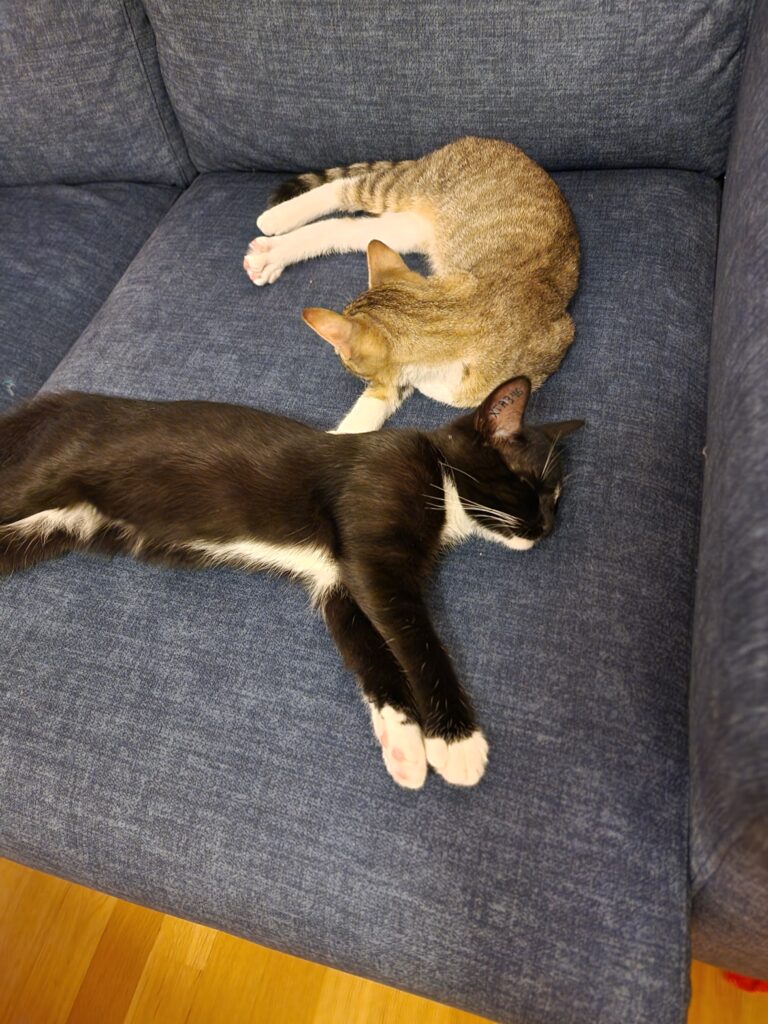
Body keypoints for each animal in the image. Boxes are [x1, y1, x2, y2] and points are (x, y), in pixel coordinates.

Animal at [0, 380, 581, 786]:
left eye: (556, 499)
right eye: (529, 486)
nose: (547, 528)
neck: (438, 477)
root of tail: (74, 401)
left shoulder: (340, 580)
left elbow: (371, 653)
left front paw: (404, 744)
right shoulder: (374, 555)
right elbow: (417, 640)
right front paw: (457, 743)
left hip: (55, 526)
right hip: (42, 481)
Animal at [243, 136, 581, 432]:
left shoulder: (555, 342)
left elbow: (450, 394)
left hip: (404, 229)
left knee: (343, 227)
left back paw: (270, 255)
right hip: (405, 189)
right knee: (345, 187)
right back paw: (276, 217)